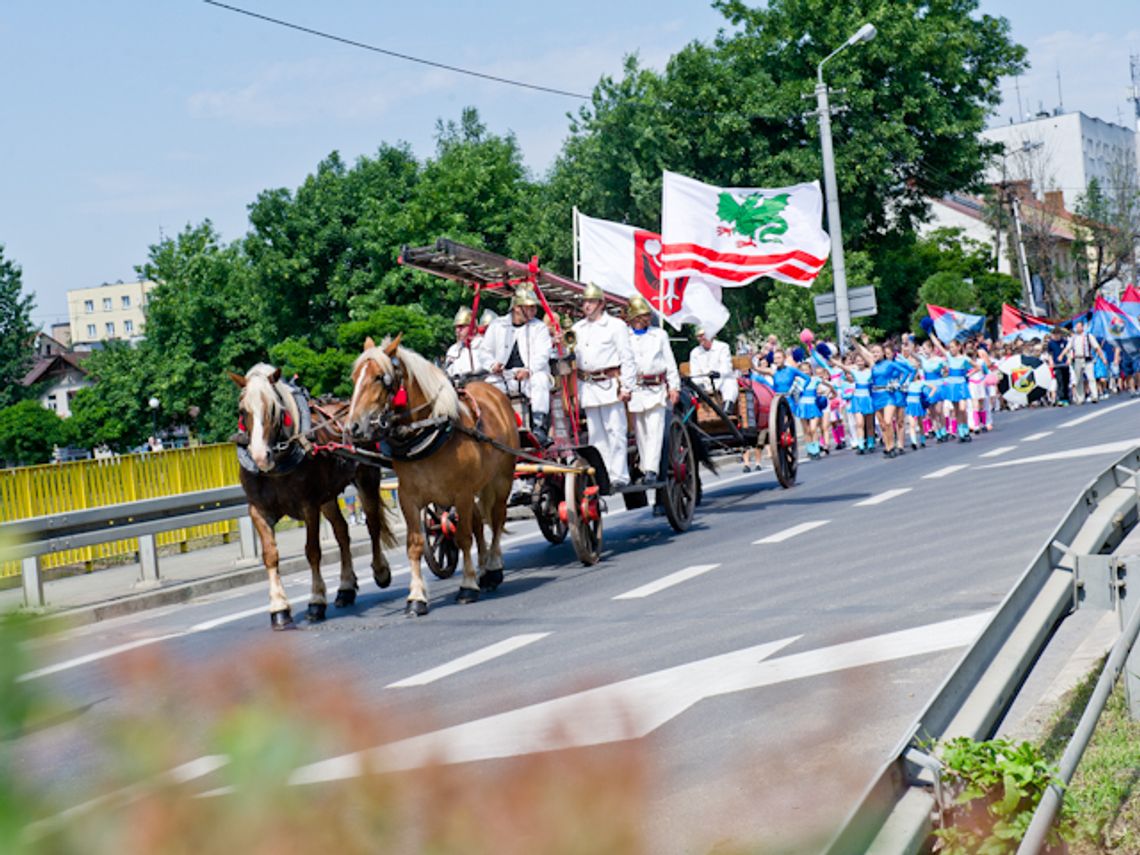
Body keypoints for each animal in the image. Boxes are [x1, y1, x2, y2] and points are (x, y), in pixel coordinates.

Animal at [229, 364, 399, 633]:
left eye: (275, 409)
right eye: (242, 410)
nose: (259, 456)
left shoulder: (308, 506)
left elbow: (313, 551)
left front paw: (316, 601)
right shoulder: (258, 510)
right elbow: (270, 555)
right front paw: (279, 608)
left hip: (367, 478)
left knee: (373, 524)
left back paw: (380, 571)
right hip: (327, 497)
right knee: (342, 533)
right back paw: (345, 588)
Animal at [339, 335, 515, 615]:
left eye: (380, 377)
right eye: (356, 377)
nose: (353, 427)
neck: (430, 430)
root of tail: (493, 392)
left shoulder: (462, 493)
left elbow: (463, 537)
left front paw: (467, 586)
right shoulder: (408, 497)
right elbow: (415, 545)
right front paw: (416, 597)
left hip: (501, 480)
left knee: (497, 519)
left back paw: (494, 567)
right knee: (479, 523)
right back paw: (485, 570)